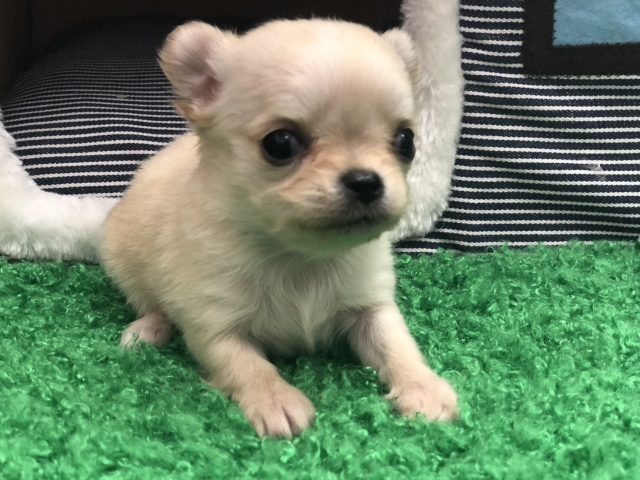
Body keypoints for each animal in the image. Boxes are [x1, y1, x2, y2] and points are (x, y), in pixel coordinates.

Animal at [101, 19, 459, 438]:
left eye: (406, 141)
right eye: (281, 143)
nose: (366, 181)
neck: (299, 257)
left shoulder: (371, 306)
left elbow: (397, 344)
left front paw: (424, 387)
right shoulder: (214, 325)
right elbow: (247, 366)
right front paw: (276, 400)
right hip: (121, 262)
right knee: (151, 304)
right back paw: (148, 331)